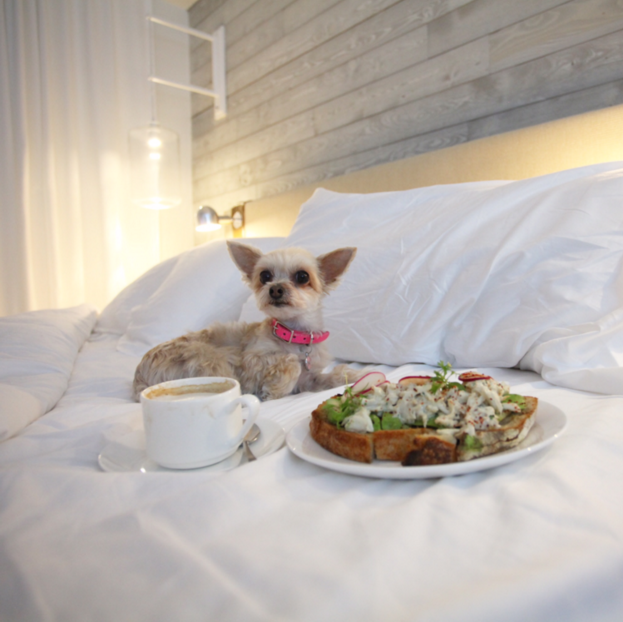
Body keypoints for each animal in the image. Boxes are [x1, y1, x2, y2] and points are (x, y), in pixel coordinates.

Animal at [134, 241, 364, 402]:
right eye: (265, 276)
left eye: (302, 276)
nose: (275, 289)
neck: (292, 336)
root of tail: (139, 376)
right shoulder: (249, 365)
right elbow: (290, 363)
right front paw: (274, 389)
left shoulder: (309, 380)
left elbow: (331, 376)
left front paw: (355, 374)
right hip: (208, 359)